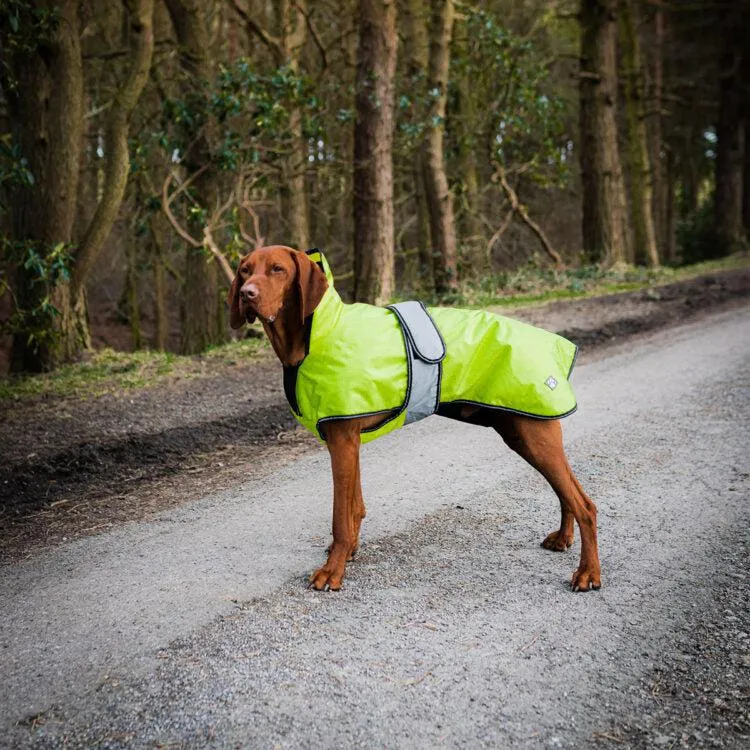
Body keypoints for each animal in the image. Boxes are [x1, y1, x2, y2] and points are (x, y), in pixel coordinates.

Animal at [229, 245, 604, 592]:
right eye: (245, 270)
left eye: (277, 269)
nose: (247, 293)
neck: (320, 330)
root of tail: (555, 344)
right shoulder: (348, 442)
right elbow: (354, 508)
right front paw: (349, 552)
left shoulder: (342, 440)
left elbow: (339, 518)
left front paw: (332, 571)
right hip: (522, 432)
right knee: (565, 491)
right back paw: (563, 538)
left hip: (533, 434)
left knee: (585, 504)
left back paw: (588, 573)